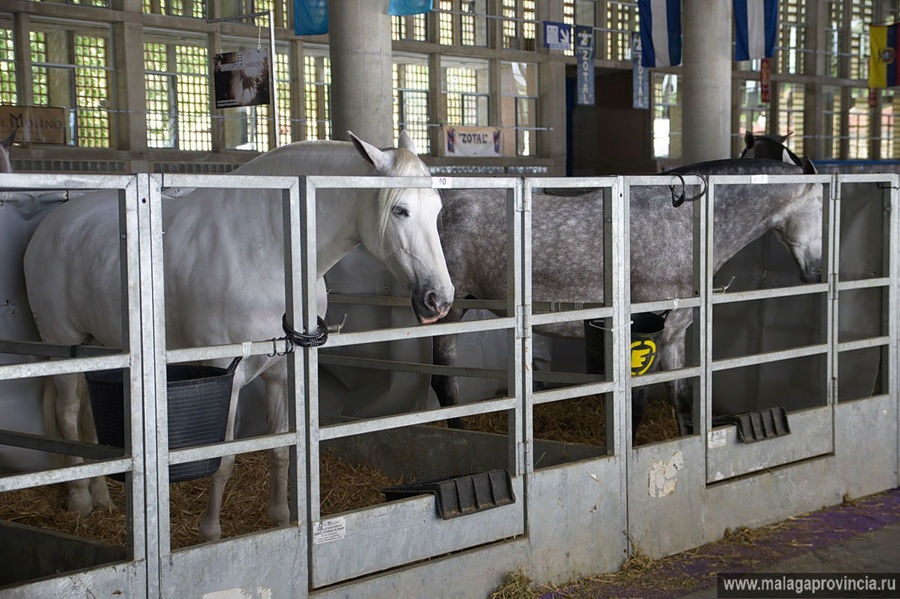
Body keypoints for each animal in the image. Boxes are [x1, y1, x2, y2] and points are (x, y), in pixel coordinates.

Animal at [24, 132, 454, 544]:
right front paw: (210, 535)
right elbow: (224, 459)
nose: (440, 299)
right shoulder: (222, 373)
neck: (267, 251)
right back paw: (81, 501)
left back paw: (102, 498)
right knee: (67, 413)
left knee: (86, 415)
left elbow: (281, 448)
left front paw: (281, 520)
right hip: (63, 344)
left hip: (100, 347)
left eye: (436, 210)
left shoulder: (283, 370)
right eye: (400, 210)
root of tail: (53, 224)